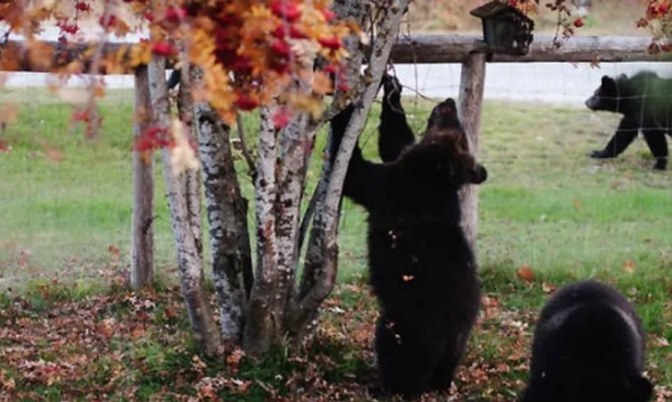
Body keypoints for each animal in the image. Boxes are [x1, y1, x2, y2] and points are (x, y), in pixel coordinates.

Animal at [330, 75, 488, 398]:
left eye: (456, 129)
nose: (448, 102)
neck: (432, 176)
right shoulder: (405, 169)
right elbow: (394, 140)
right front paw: (391, 86)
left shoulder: (393, 189)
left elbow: (356, 173)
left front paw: (344, 107)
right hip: (457, 339)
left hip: (409, 323)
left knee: (397, 353)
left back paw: (387, 386)